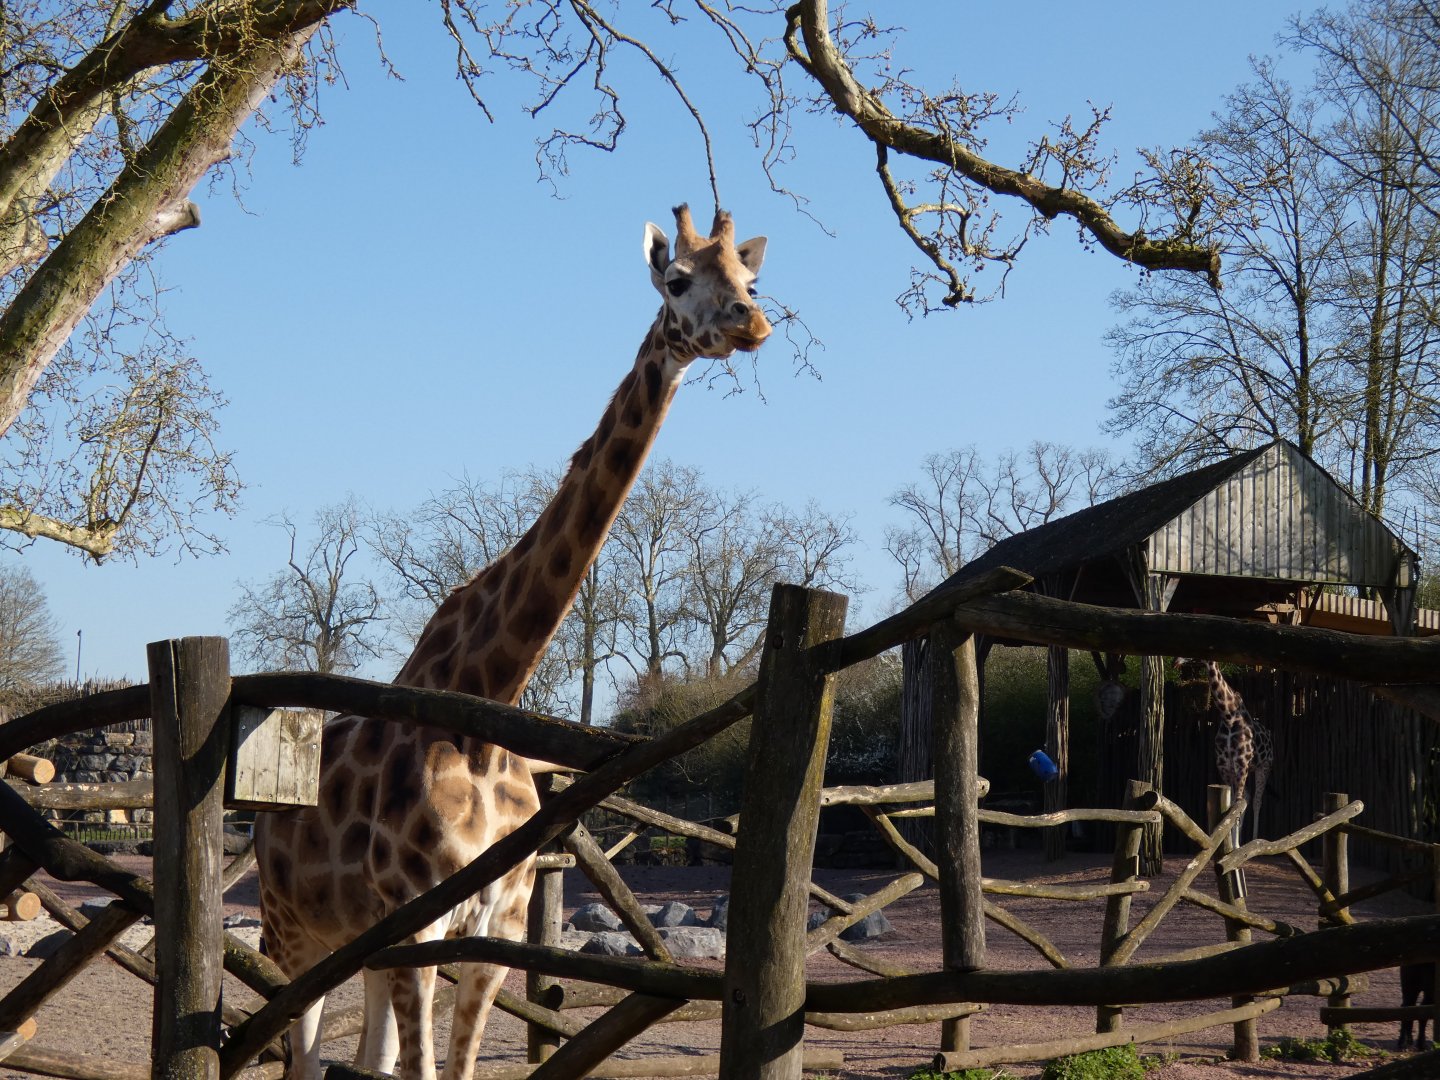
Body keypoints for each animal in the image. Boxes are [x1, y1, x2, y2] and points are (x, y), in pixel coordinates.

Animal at [254, 205, 770, 1080]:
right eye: (676, 281)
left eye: (751, 280)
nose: (750, 324)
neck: (487, 703)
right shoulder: (418, 923)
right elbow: (424, 1072)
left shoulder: (494, 927)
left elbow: (448, 1070)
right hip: (295, 933)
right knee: (300, 1056)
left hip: (360, 946)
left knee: (361, 1057)